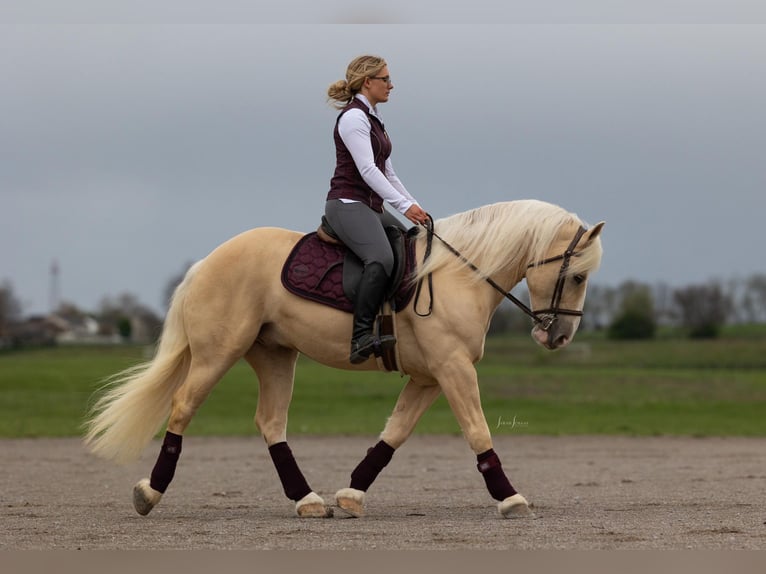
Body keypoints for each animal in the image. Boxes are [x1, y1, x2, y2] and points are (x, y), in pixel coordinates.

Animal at [84, 199, 604, 519]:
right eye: (578, 276)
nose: (559, 336)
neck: (457, 274)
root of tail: (206, 263)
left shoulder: (429, 377)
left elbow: (394, 433)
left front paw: (352, 494)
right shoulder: (453, 369)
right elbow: (478, 431)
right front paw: (511, 499)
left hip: (275, 356)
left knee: (271, 422)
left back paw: (308, 500)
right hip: (218, 354)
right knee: (183, 408)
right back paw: (149, 492)